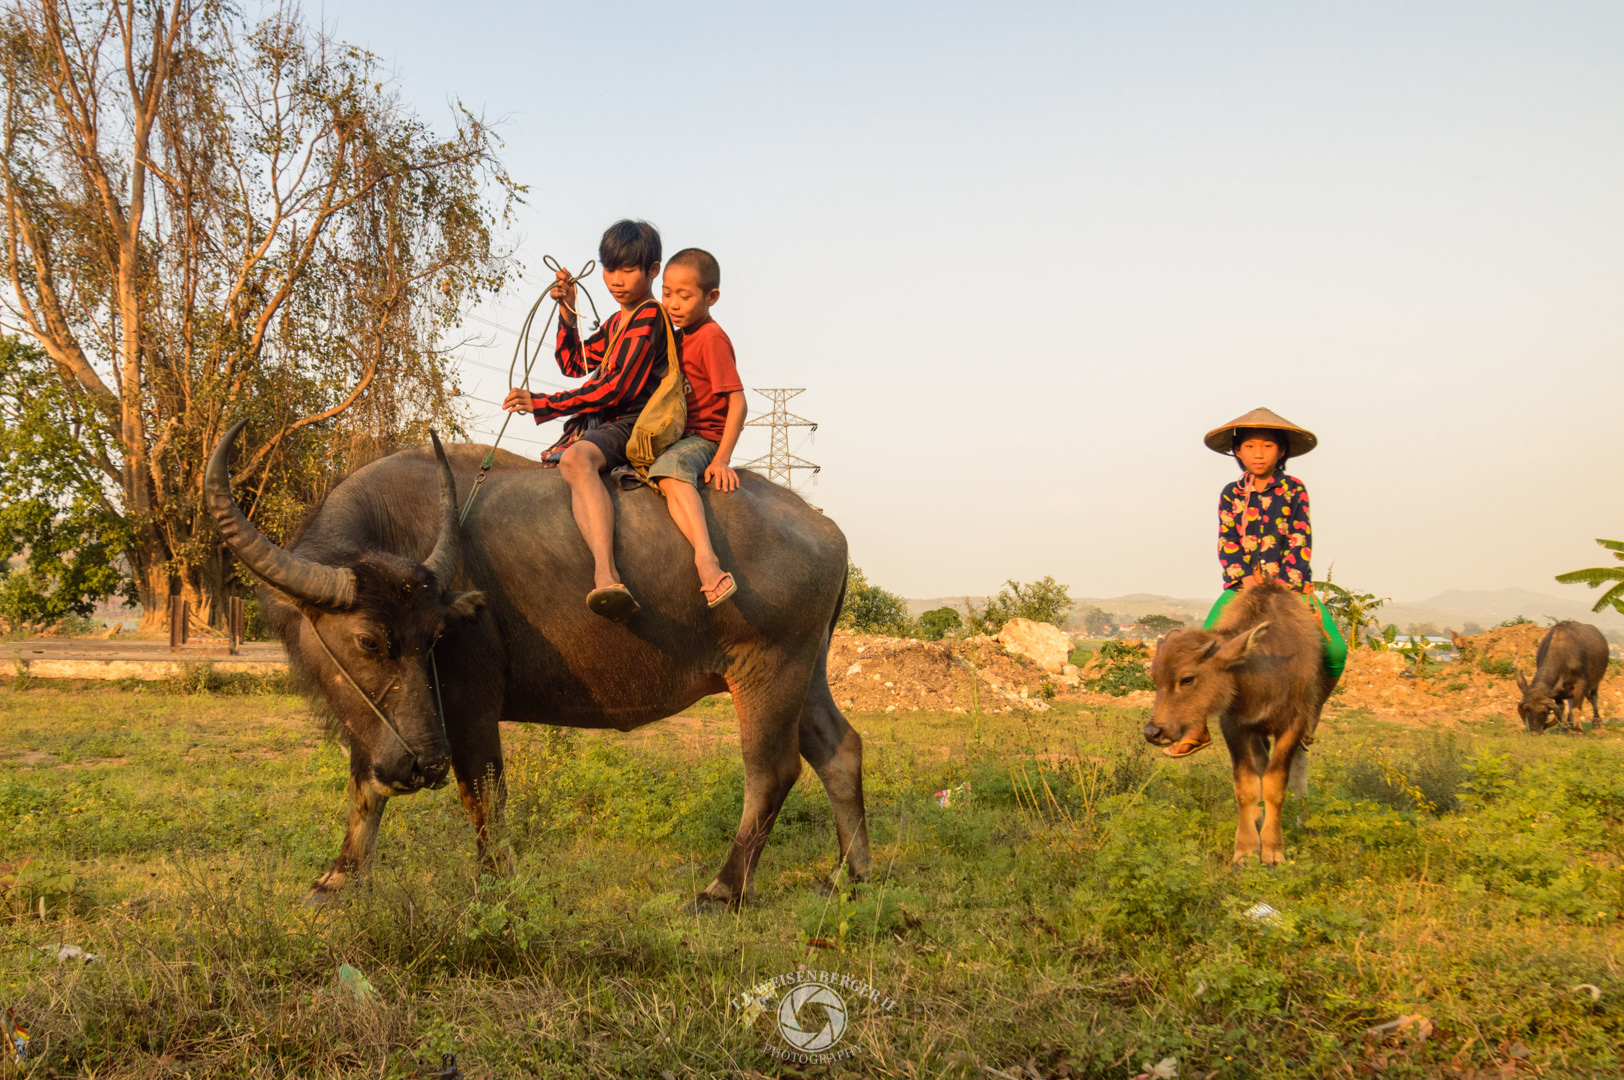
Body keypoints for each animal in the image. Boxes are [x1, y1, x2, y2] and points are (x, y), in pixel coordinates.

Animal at [204, 422, 869, 909]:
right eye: (369, 641)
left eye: (436, 636)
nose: (424, 765)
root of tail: (827, 529)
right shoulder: (380, 725)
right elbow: (365, 784)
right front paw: (338, 879)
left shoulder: (468, 704)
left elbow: (483, 792)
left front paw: (496, 883)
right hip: (807, 671)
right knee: (839, 749)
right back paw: (851, 873)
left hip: (766, 671)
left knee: (772, 771)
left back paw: (723, 889)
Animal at [1142, 581, 1332, 865]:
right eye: (1154, 678)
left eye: (1187, 679)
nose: (1153, 732)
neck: (1266, 673)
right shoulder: (1235, 726)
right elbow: (1246, 784)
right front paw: (1246, 848)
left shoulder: (1294, 725)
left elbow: (1276, 783)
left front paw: (1273, 850)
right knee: (1261, 765)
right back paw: (1258, 817)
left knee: (1298, 769)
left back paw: (1303, 820)